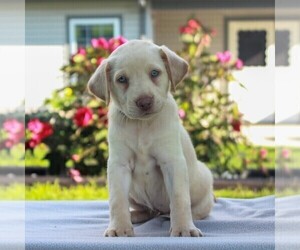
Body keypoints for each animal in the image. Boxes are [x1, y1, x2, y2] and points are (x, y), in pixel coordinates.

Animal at [88, 40, 214, 237]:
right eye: (122, 79)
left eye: (154, 73)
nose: (144, 102)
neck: (142, 125)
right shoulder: (118, 165)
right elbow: (117, 200)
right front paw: (119, 228)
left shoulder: (172, 162)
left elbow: (179, 198)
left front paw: (184, 228)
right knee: (147, 210)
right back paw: (135, 216)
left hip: (204, 179)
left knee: (198, 208)